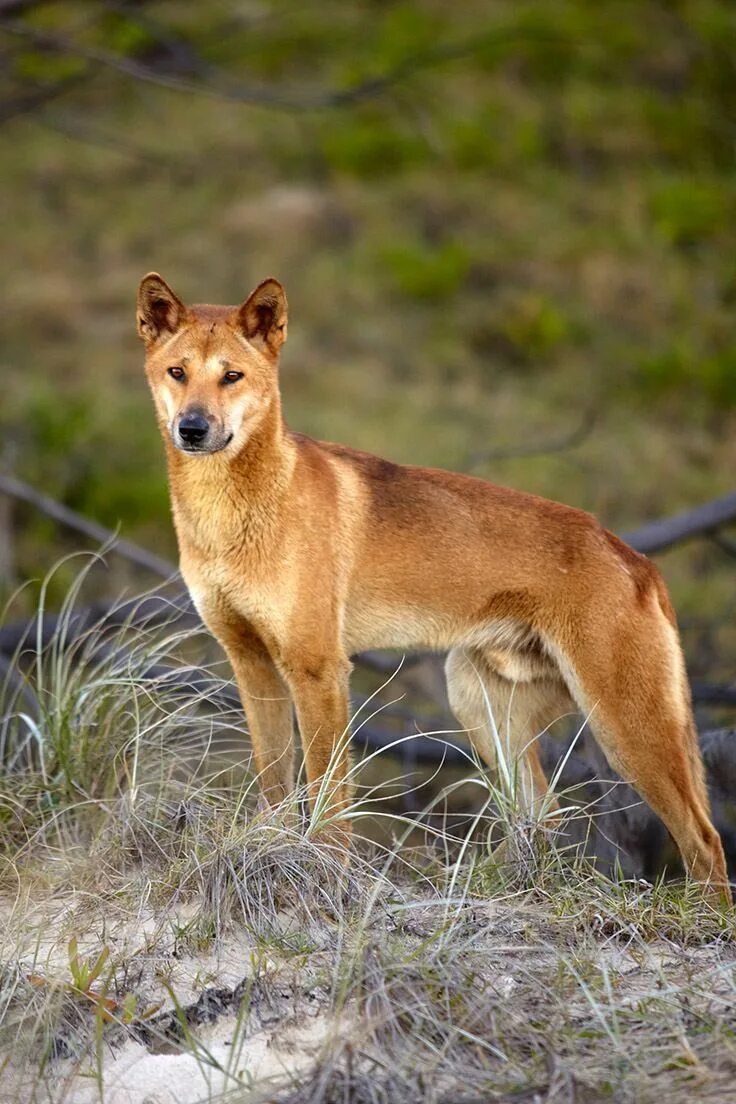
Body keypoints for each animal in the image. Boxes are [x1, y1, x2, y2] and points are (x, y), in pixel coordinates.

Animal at [137, 273, 732, 896]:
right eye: (178, 372)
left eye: (232, 375)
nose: (192, 428)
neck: (231, 516)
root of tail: (637, 558)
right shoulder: (252, 664)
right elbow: (275, 788)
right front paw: (271, 858)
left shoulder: (317, 668)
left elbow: (328, 799)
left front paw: (325, 879)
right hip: (479, 703)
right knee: (543, 814)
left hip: (623, 727)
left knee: (703, 840)